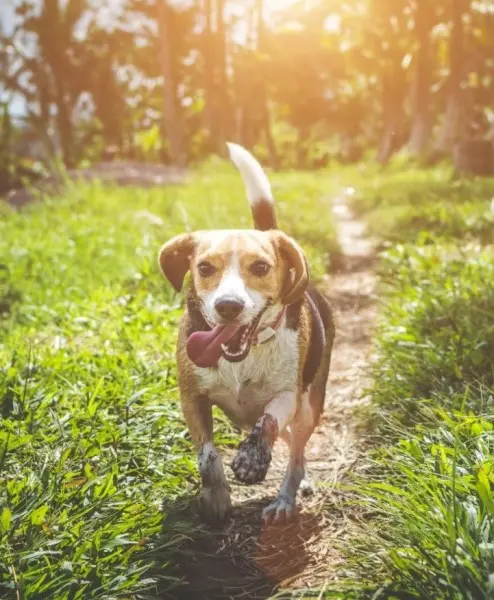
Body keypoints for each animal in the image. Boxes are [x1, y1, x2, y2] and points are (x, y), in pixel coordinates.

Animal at [160, 143, 334, 524]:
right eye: (204, 267)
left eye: (261, 267)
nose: (228, 306)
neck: (243, 356)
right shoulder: (191, 398)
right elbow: (207, 455)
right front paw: (215, 497)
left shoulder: (287, 395)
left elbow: (267, 421)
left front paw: (252, 458)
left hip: (309, 407)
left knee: (296, 454)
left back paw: (285, 499)